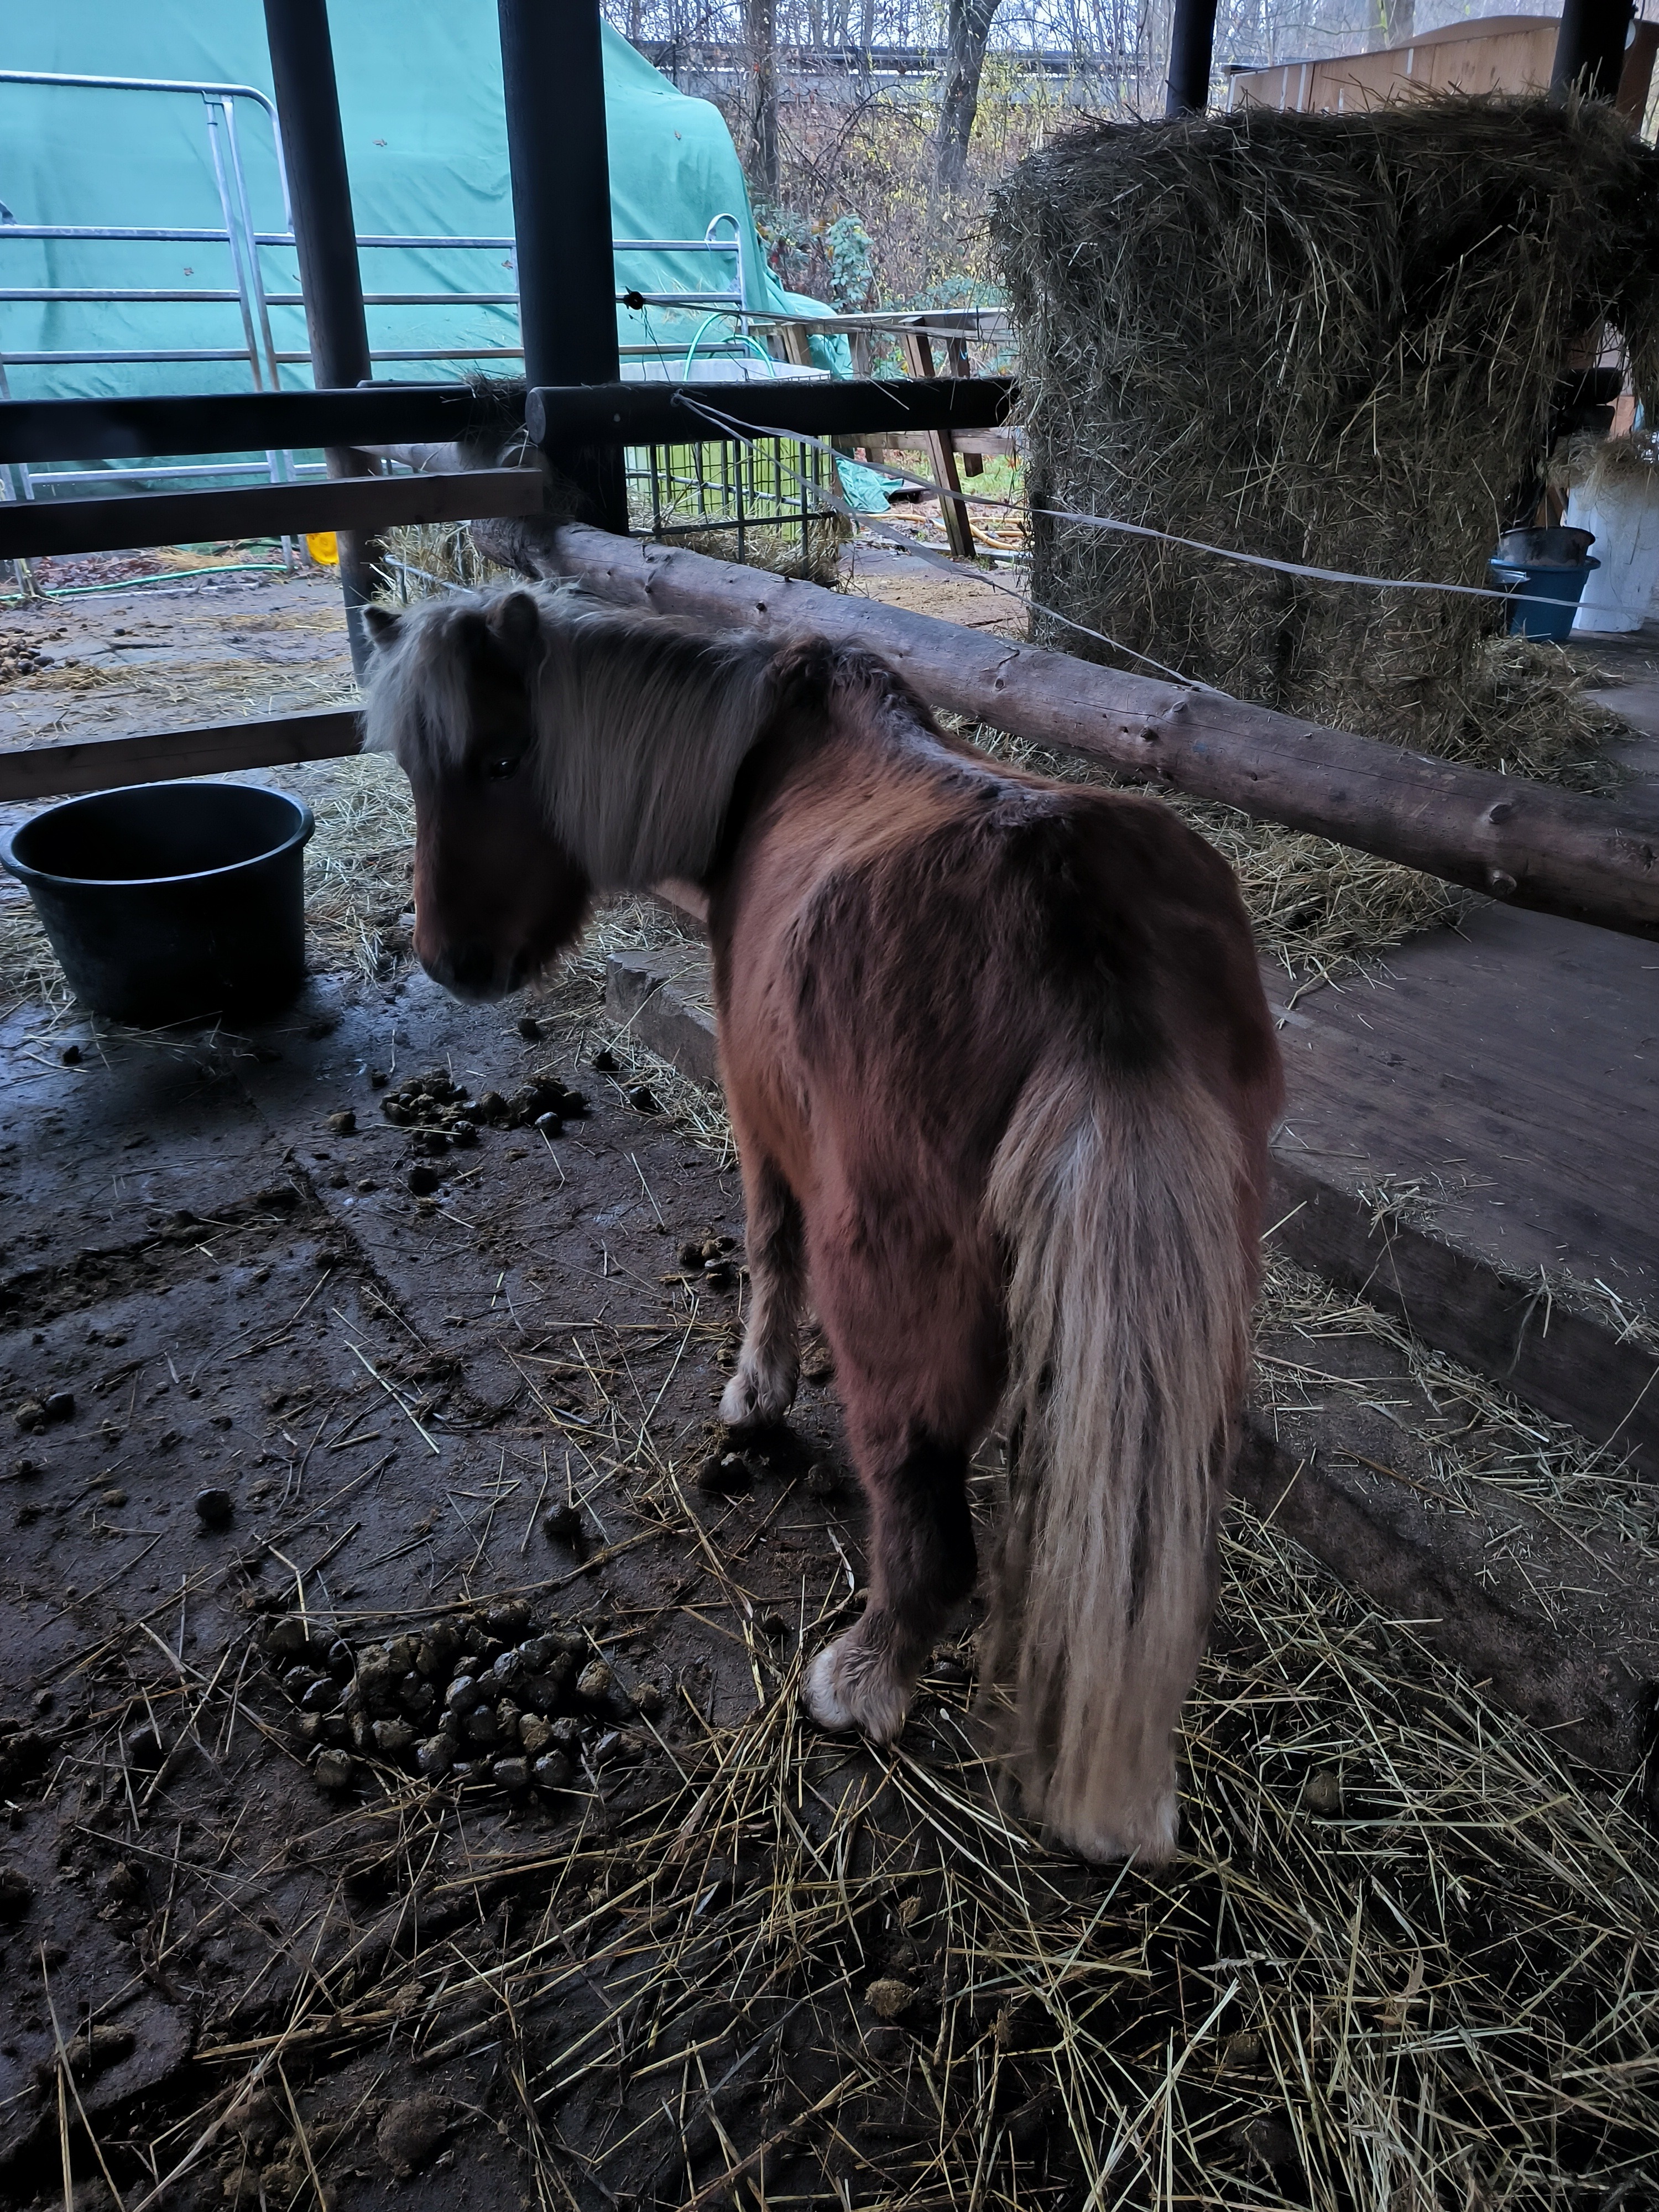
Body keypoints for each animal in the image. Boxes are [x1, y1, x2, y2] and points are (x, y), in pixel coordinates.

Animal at [362, 581, 1284, 1863]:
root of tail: (1078, 921)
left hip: (891, 1290)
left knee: (929, 1531)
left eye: (502, 757)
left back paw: (863, 1680)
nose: (452, 959)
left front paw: (755, 1392)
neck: (767, 752)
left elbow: (768, 1249)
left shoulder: (761, 1121)